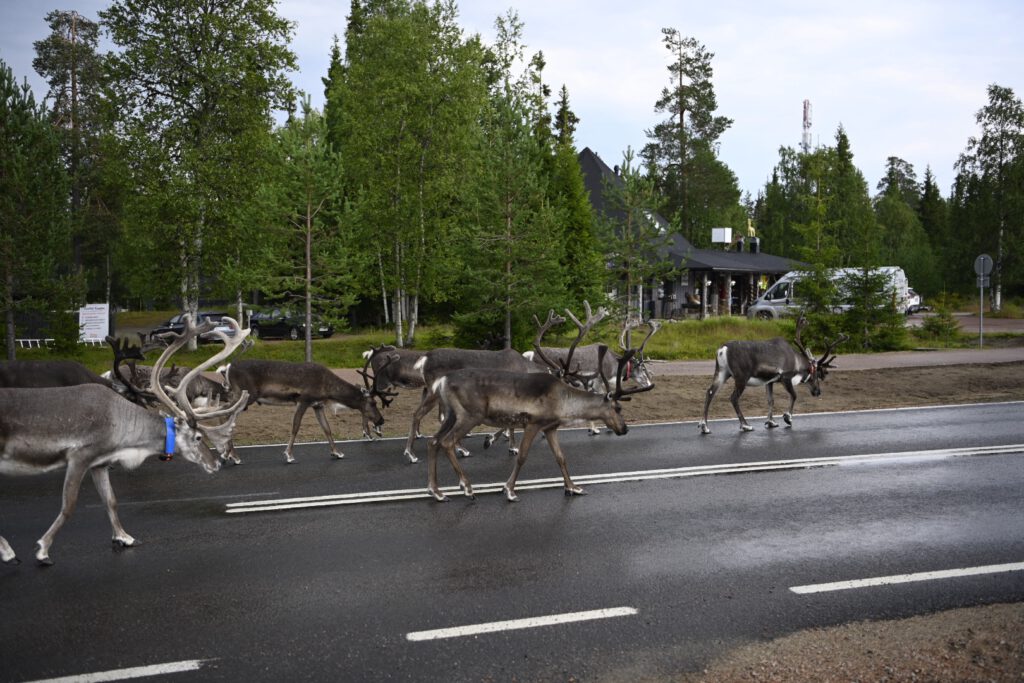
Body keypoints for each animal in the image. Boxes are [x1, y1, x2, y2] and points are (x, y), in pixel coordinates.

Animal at [0, 315, 250, 566]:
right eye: (198, 437)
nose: (216, 463)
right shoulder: (79, 457)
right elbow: (69, 506)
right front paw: (43, 549)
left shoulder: (99, 462)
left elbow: (110, 500)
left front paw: (124, 537)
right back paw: (9, 551)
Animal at [216, 357, 392, 464]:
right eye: (373, 402)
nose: (381, 420)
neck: (329, 391)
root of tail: (227, 368)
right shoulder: (304, 400)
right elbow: (295, 426)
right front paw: (289, 455)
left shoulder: (317, 405)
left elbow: (327, 429)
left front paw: (337, 452)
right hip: (247, 395)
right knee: (224, 411)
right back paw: (232, 455)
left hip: (237, 395)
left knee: (222, 410)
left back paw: (228, 454)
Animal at [425, 307, 654, 503]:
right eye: (618, 408)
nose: (625, 429)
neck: (563, 405)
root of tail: (443, 381)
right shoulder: (533, 423)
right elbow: (522, 456)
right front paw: (509, 490)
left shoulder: (550, 427)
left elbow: (561, 457)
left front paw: (572, 487)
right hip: (469, 415)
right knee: (447, 442)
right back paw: (466, 487)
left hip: (452, 414)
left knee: (434, 441)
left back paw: (436, 492)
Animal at [698, 313, 849, 434]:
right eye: (816, 374)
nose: (818, 392)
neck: (797, 361)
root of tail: (722, 349)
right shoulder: (785, 377)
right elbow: (794, 395)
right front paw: (788, 418)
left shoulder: (769, 382)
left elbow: (771, 400)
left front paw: (771, 422)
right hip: (741, 377)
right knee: (733, 398)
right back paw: (745, 425)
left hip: (722, 372)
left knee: (710, 392)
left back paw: (704, 426)